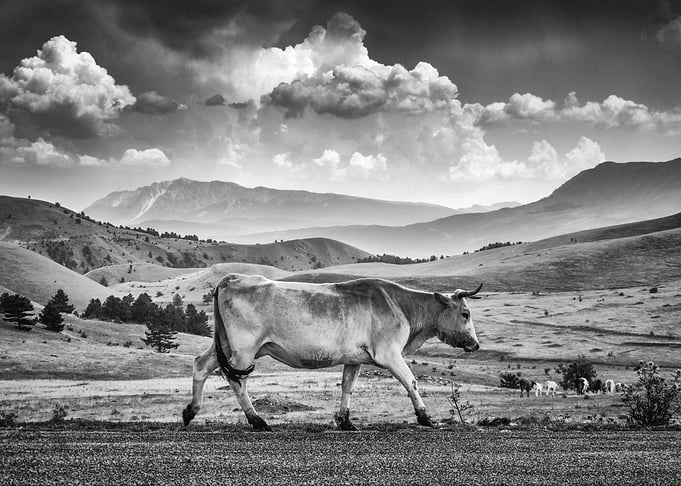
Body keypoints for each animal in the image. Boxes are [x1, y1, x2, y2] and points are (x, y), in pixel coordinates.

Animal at [183, 274, 482, 431]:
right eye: (465, 314)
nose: (476, 345)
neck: (401, 305)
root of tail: (233, 277)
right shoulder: (389, 353)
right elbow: (411, 381)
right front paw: (425, 417)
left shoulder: (355, 358)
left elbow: (347, 387)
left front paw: (345, 420)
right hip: (245, 349)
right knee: (237, 380)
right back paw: (257, 420)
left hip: (224, 345)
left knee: (201, 364)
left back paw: (191, 411)